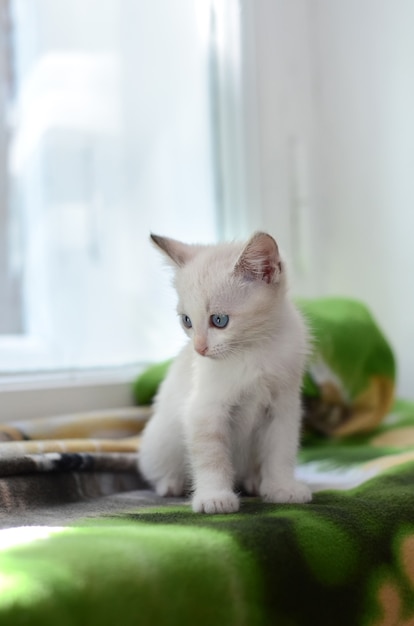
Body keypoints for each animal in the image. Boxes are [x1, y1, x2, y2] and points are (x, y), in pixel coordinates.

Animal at [139, 230, 310, 512]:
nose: (199, 349)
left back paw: (255, 482)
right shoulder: (204, 410)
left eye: (219, 320)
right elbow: (211, 457)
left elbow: (281, 451)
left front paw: (283, 488)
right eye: (187, 321)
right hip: (159, 439)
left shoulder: (284, 407)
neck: (254, 350)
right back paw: (172, 484)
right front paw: (214, 497)